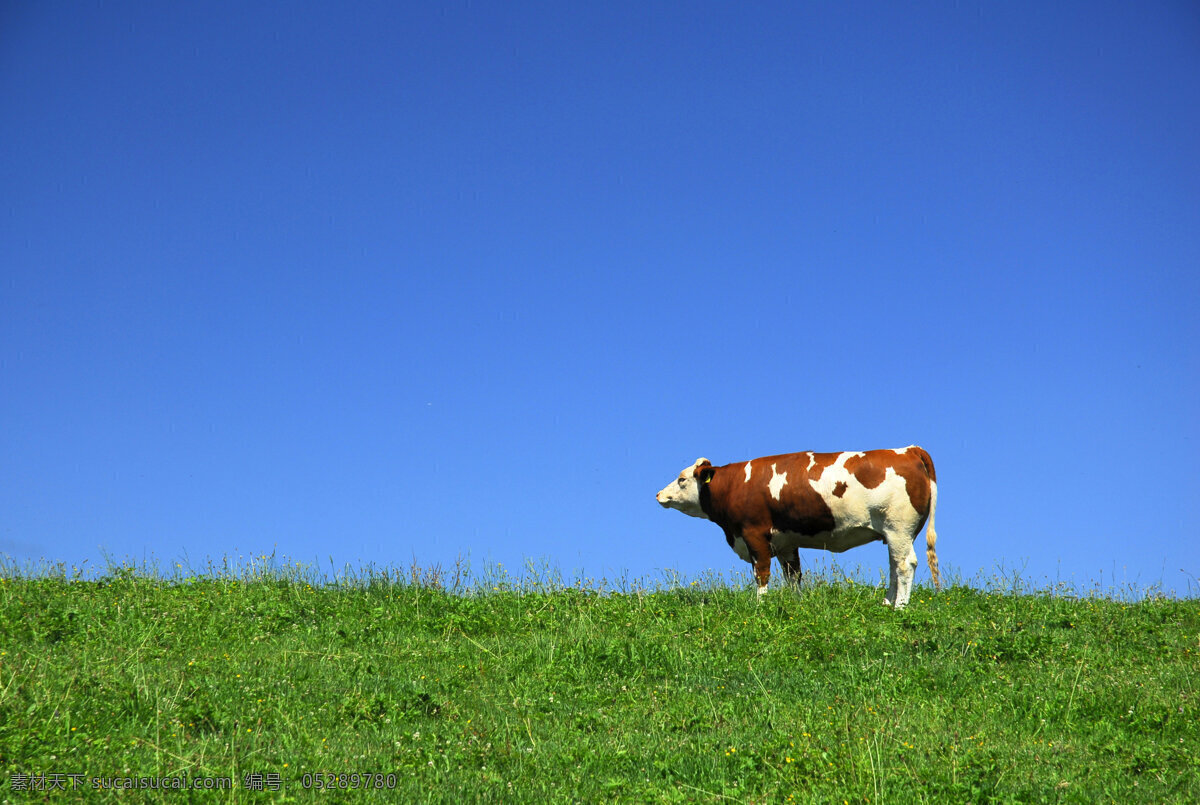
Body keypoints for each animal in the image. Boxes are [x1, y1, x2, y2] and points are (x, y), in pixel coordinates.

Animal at [657, 446, 936, 611]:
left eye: (682, 479)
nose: (659, 494)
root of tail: (906, 450)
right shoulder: (786, 543)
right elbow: (793, 576)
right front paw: (796, 605)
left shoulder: (754, 534)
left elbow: (762, 573)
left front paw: (760, 606)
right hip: (893, 533)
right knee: (894, 565)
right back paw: (886, 603)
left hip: (898, 528)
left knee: (905, 564)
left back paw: (899, 607)